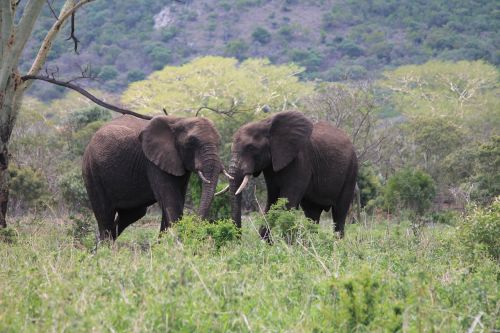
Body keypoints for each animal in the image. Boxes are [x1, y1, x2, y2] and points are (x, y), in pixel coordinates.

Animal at [83, 114, 231, 239]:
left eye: (219, 143)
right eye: (191, 142)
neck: (179, 119)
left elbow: (177, 200)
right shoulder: (152, 162)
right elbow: (170, 201)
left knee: (133, 214)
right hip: (91, 171)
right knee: (105, 215)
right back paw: (106, 249)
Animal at [229, 110, 358, 237]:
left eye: (250, 147)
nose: (239, 237)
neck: (266, 123)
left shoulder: (300, 161)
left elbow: (287, 202)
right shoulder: (271, 166)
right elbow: (272, 201)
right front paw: (265, 241)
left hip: (351, 170)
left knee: (339, 212)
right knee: (312, 213)